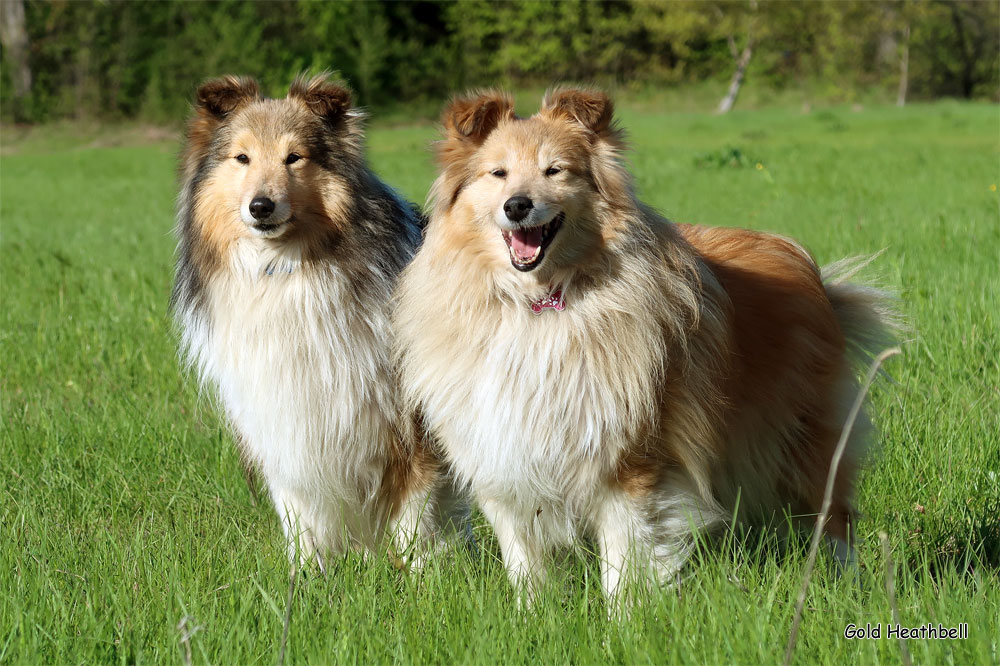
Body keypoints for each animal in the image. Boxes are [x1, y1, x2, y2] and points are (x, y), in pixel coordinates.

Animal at [392, 87, 900, 600]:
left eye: (556, 170)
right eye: (497, 173)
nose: (517, 205)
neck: (538, 305)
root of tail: (808, 267)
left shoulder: (632, 461)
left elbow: (625, 558)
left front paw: (626, 617)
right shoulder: (503, 453)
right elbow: (526, 561)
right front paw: (533, 612)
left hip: (804, 441)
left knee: (835, 518)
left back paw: (848, 586)